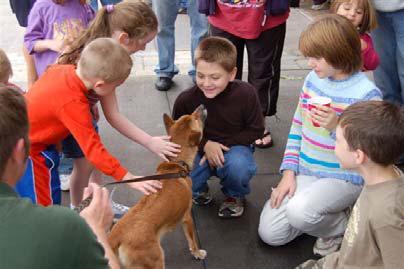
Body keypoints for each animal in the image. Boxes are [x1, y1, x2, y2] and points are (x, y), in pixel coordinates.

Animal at [108, 105, 207, 268]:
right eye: (196, 117)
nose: (202, 106)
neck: (176, 163)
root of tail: (115, 237)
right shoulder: (187, 218)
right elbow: (192, 241)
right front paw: (197, 253)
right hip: (155, 260)